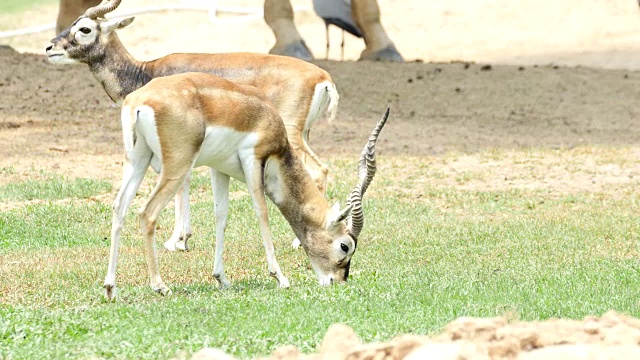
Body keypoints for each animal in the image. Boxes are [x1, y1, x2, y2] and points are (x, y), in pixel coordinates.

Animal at [45, 0, 338, 253]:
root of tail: (323, 77)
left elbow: (179, 187)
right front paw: (182, 238)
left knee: (319, 170)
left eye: (84, 29)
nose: (49, 48)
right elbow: (184, 182)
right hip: (303, 135)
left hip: (291, 134)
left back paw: (300, 241)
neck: (144, 72)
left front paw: (175, 240)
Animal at [104, 72, 390, 298]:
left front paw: (221, 278)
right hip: (176, 167)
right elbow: (262, 212)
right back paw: (159, 286)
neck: (265, 116)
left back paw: (110, 288)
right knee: (147, 213)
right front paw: (280, 277)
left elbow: (221, 216)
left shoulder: (218, 168)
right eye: (345, 246)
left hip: (137, 161)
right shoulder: (254, 160)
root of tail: (140, 102)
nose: (337, 280)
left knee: (119, 208)